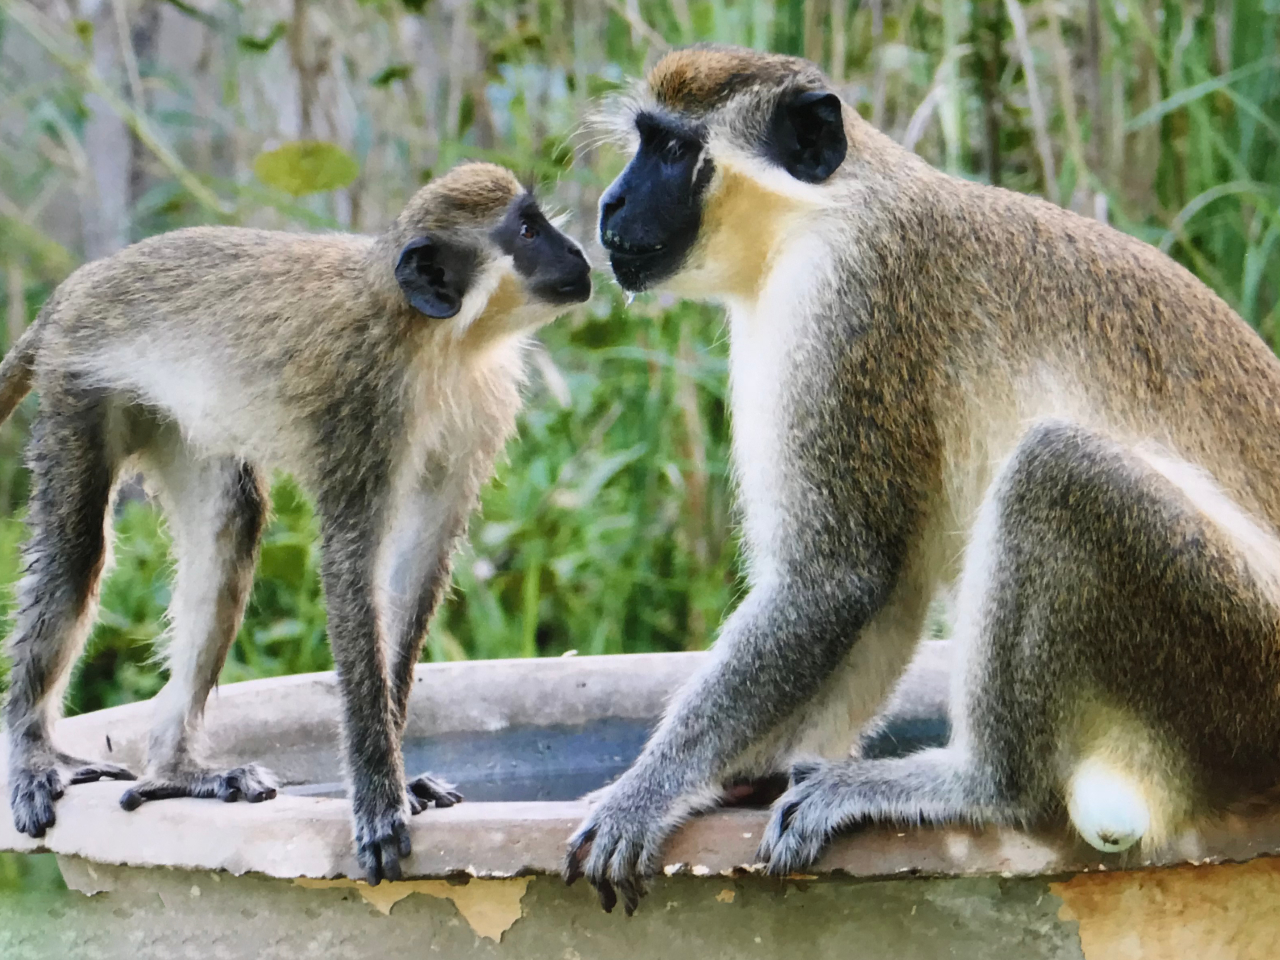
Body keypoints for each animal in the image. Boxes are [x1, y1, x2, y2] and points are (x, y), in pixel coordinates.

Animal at [2, 161, 591, 885]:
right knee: (77, 549)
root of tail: (76, 288)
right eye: (528, 230)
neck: (436, 339)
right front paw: (378, 796)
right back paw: (33, 747)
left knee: (229, 529)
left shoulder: (479, 407)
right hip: (77, 383)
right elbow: (351, 565)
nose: (578, 251)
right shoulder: (363, 404)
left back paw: (176, 770)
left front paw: (401, 780)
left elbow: (415, 568)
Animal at [568, 47, 1280, 916]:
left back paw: (982, 787)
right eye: (645, 141)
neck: (824, 207)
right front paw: (744, 774)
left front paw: (646, 792)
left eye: (673, 152)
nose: (611, 201)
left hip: (1241, 651)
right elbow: (886, 586)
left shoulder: (843, 308)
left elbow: (831, 580)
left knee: (1055, 469)